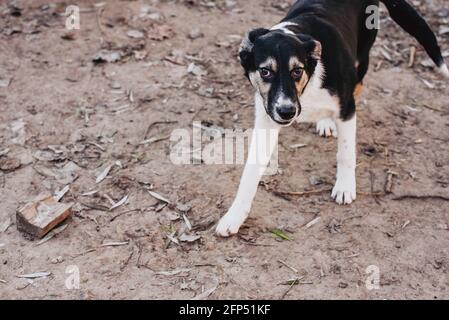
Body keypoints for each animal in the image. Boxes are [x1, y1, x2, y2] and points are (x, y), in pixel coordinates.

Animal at [215, 0, 446, 238]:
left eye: (297, 71)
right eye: (265, 71)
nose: (287, 111)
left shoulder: (347, 109)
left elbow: (345, 153)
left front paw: (345, 186)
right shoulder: (267, 120)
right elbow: (249, 173)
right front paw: (234, 215)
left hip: (362, 54)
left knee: (359, 83)